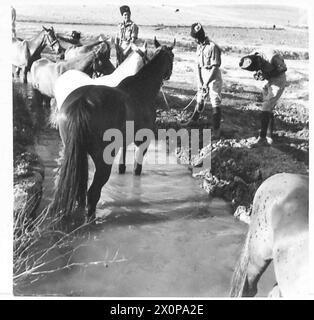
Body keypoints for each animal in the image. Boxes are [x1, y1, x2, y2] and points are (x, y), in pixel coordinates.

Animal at [50, 38, 175, 220]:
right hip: (103, 161)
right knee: (92, 193)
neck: (142, 89)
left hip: (76, 152)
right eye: (172, 57)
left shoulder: (124, 142)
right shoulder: (142, 143)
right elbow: (137, 169)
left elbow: (122, 165)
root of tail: (82, 102)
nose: (168, 74)